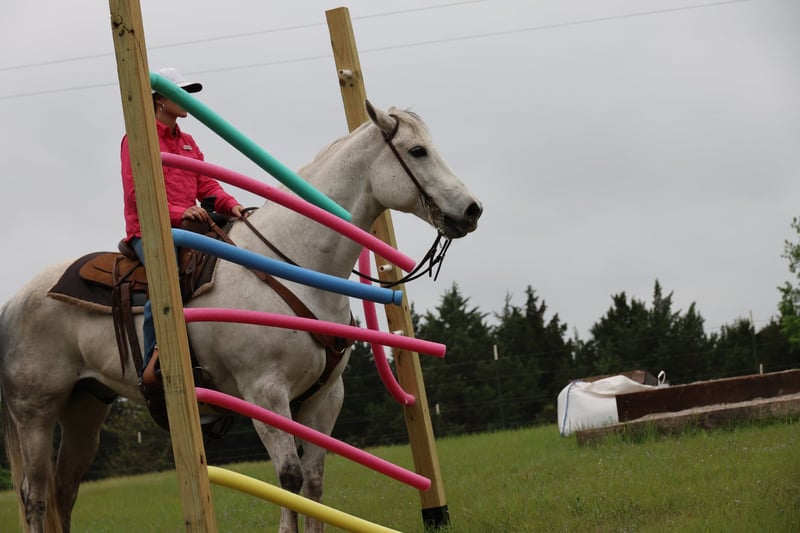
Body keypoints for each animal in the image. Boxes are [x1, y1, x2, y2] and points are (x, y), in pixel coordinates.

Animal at [0, 100, 482, 533]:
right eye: (417, 151)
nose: (472, 209)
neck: (293, 261)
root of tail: (14, 302)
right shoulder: (264, 392)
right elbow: (289, 478)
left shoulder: (325, 397)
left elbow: (314, 482)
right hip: (36, 412)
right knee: (35, 495)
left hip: (85, 407)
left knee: (64, 490)